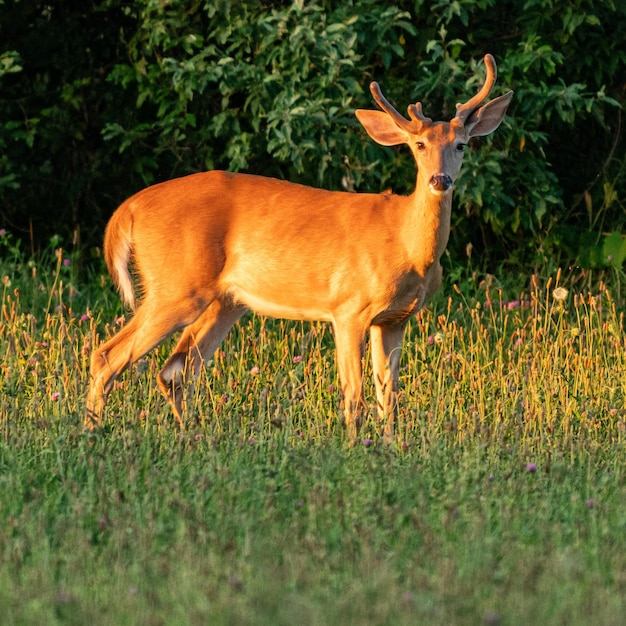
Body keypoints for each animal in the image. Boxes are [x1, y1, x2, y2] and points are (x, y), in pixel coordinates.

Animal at [85, 53, 510, 438]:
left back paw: (187, 435)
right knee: (108, 355)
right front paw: (355, 449)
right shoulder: (349, 308)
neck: (408, 247)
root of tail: (130, 208)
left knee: (176, 369)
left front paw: (391, 449)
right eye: (419, 144)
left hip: (226, 301)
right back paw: (92, 432)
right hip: (176, 286)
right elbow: (354, 395)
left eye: (461, 145)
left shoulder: (394, 319)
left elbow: (388, 396)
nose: (440, 180)